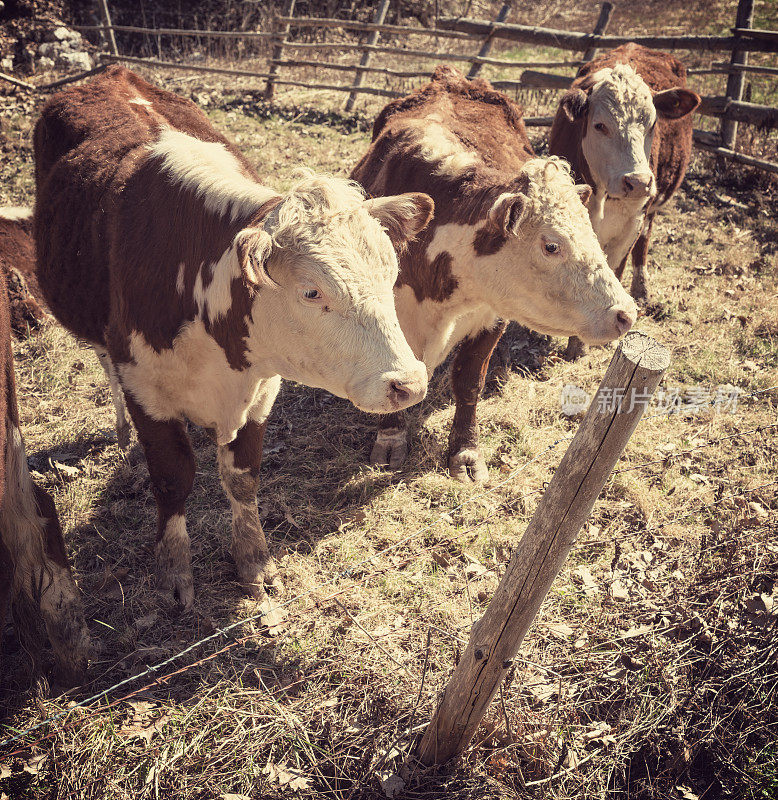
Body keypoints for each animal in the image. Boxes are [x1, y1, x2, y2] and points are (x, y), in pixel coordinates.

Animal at [34, 67, 430, 608]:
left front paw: (254, 562)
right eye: (311, 291)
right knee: (103, 366)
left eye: (391, 274)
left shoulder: (261, 390)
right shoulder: (144, 385)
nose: (408, 383)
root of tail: (113, 74)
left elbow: (242, 479)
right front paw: (174, 571)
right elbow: (172, 477)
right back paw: (121, 436)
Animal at [352, 67, 636, 482]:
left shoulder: (492, 317)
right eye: (551, 245)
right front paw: (390, 438)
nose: (626, 313)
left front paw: (466, 453)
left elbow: (470, 382)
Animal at [544, 43, 696, 306]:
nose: (638, 182)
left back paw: (641, 289)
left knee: (644, 241)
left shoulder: (631, 226)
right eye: (599, 125)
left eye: (653, 124)